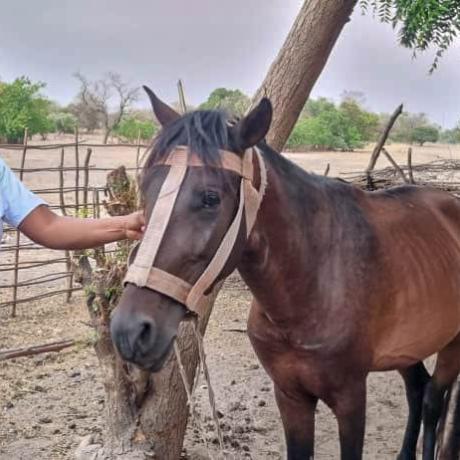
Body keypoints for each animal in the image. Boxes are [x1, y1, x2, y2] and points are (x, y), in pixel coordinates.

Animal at [110, 87, 460, 460]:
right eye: (146, 187)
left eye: (210, 198)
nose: (130, 330)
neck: (313, 282)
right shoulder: (290, 396)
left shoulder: (351, 400)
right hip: (409, 346)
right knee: (418, 390)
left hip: (451, 345)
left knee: (433, 400)